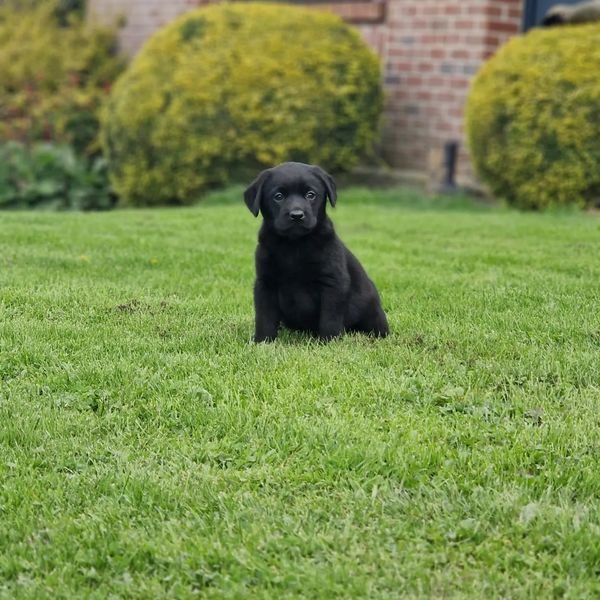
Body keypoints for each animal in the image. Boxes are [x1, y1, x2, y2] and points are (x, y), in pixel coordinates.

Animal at [244, 162, 390, 342]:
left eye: (310, 195)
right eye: (278, 196)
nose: (297, 215)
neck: (294, 244)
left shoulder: (333, 282)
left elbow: (330, 317)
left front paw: (329, 341)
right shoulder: (266, 283)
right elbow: (265, 317)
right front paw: (263, 341)